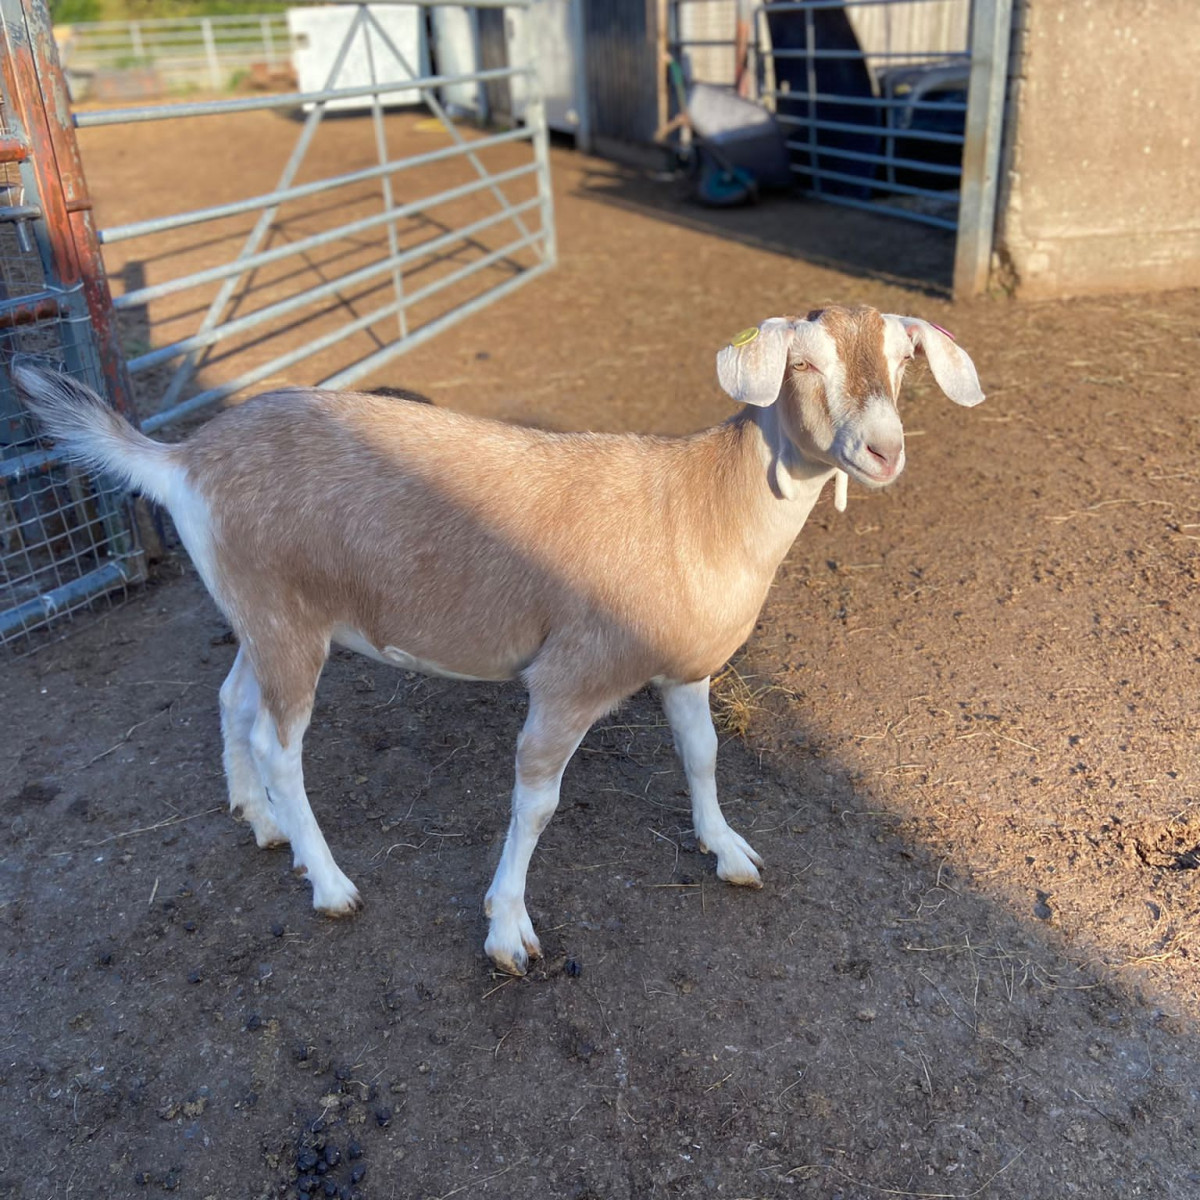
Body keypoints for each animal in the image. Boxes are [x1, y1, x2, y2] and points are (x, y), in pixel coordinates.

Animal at [11, 302, 984, 974]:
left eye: (905, 361)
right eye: (804, 363)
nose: (884, 451)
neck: (700, 506)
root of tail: (182, 461)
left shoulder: (685, 670)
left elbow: (704, 755)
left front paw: (727, 849)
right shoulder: (569, 677)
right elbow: (538, 802)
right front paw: (509, 928)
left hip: (261, 610)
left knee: (230, 701)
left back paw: (258, 821)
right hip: (286, 620)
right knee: (278, 744)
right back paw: (328, 882)